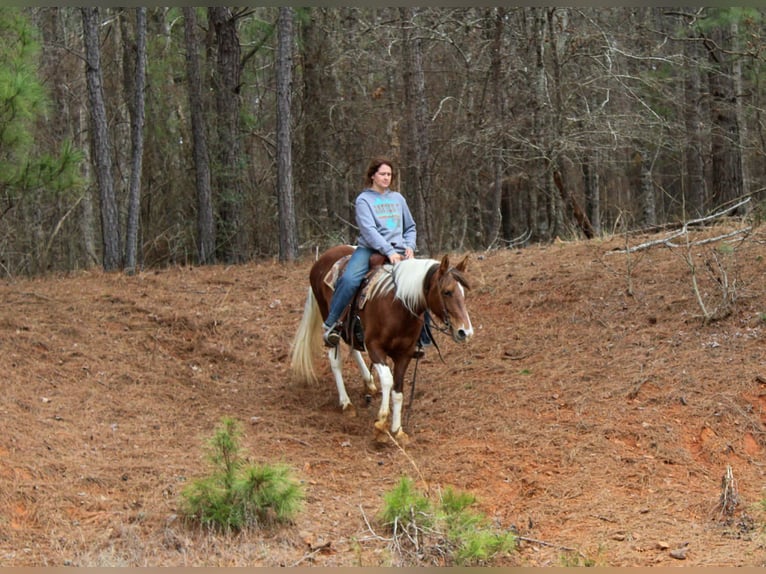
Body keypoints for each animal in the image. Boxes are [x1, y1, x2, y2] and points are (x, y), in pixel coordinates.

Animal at [290, 245, 474, 443]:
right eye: (447, 291)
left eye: (463, 293)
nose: (465, 332)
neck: (396, 306)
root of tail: (326, 255)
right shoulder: (375, 348)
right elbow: (387, 380)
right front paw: (381, 425)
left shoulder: (405, 354)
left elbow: (398, 391)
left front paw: (398, 430)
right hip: (329, 319)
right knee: (335, 359)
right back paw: (346, 404)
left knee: (353, 349)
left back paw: (369, 383)